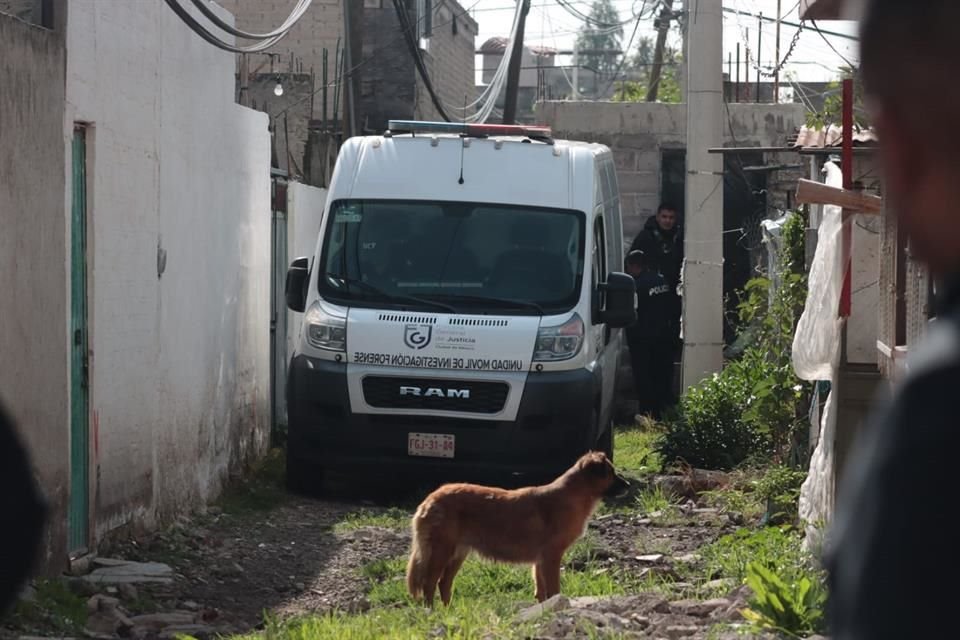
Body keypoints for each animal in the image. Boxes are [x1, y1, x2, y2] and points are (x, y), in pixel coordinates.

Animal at [404, 450, 632, 604]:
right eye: (611, 473)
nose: (628, 485)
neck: (573, 494)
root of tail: (431, 498)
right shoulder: (551, 556)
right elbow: (554, 589)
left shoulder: (540, 561)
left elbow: (542, 591)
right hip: (441, 551)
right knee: (429, 583)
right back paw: (432, 612)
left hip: (458, 553)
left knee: (444, 583)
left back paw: (448, 611)